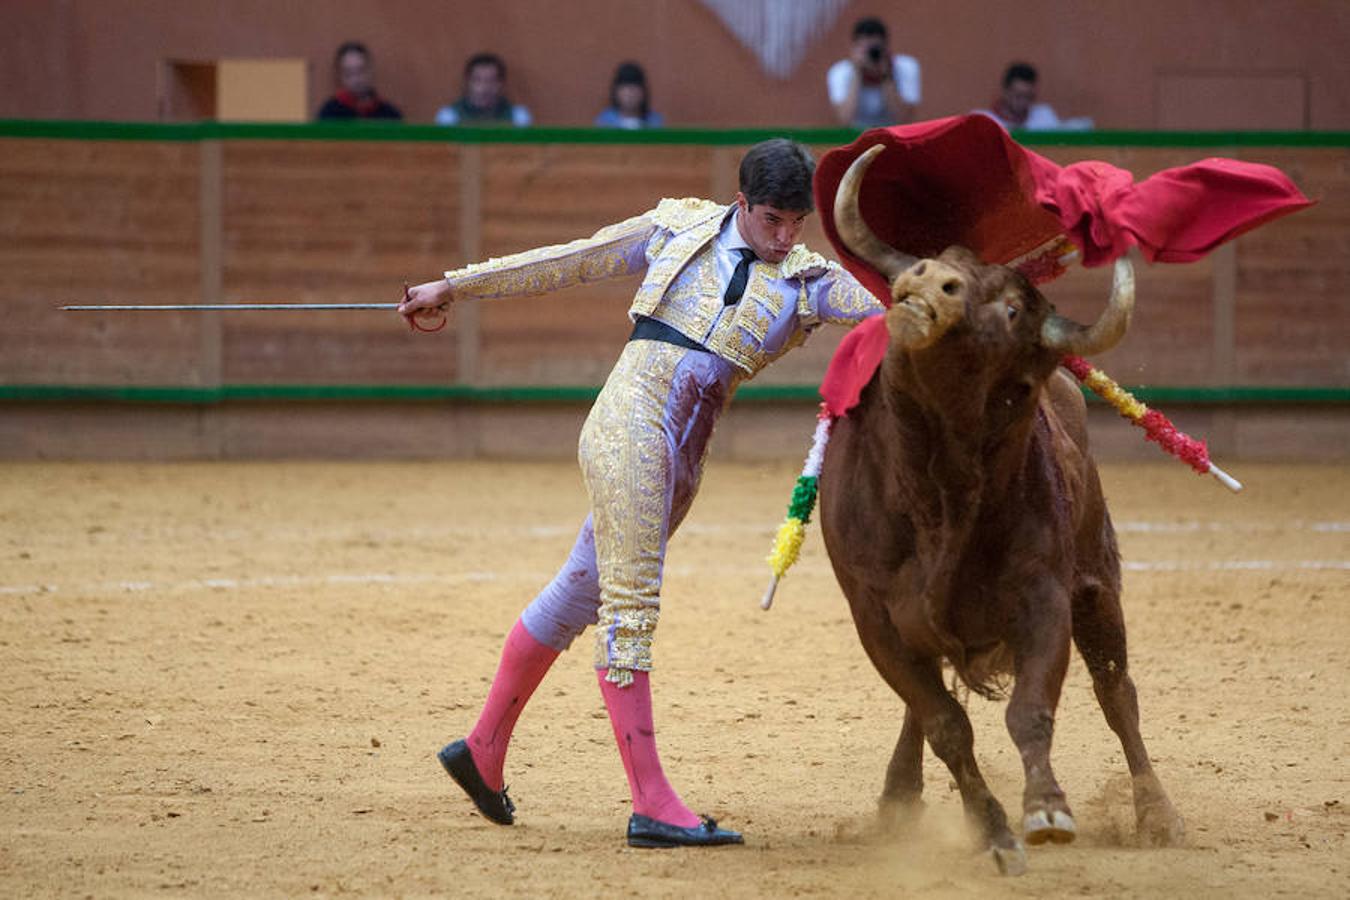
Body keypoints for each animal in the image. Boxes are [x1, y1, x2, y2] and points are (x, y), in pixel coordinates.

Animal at [810, 146, 1182, 874]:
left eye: (1013, 310)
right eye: (939, 257)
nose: (929, 281)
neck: (941, 493)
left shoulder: (1045, 598)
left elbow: (1031, 711)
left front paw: (1046, 811)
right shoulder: (875, 617)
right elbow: (946, 725)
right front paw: (995, 833)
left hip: (1098, 588)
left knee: (1118, 694)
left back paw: (1157, 814)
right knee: (929, 706)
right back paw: (899, 799)